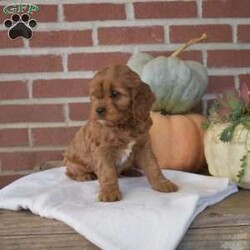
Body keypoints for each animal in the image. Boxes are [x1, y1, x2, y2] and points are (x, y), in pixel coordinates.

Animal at [64, 64, 178, 201]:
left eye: (115, 94)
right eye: (96, 96)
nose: (98, 110)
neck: (122, 125)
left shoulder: (143, 146)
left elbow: (153, 166)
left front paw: (163, 183)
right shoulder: (101, 150)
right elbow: (107, 171)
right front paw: (109, 192)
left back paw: (131, 171)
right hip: (73, 163)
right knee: (70, 172)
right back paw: (84, 176)